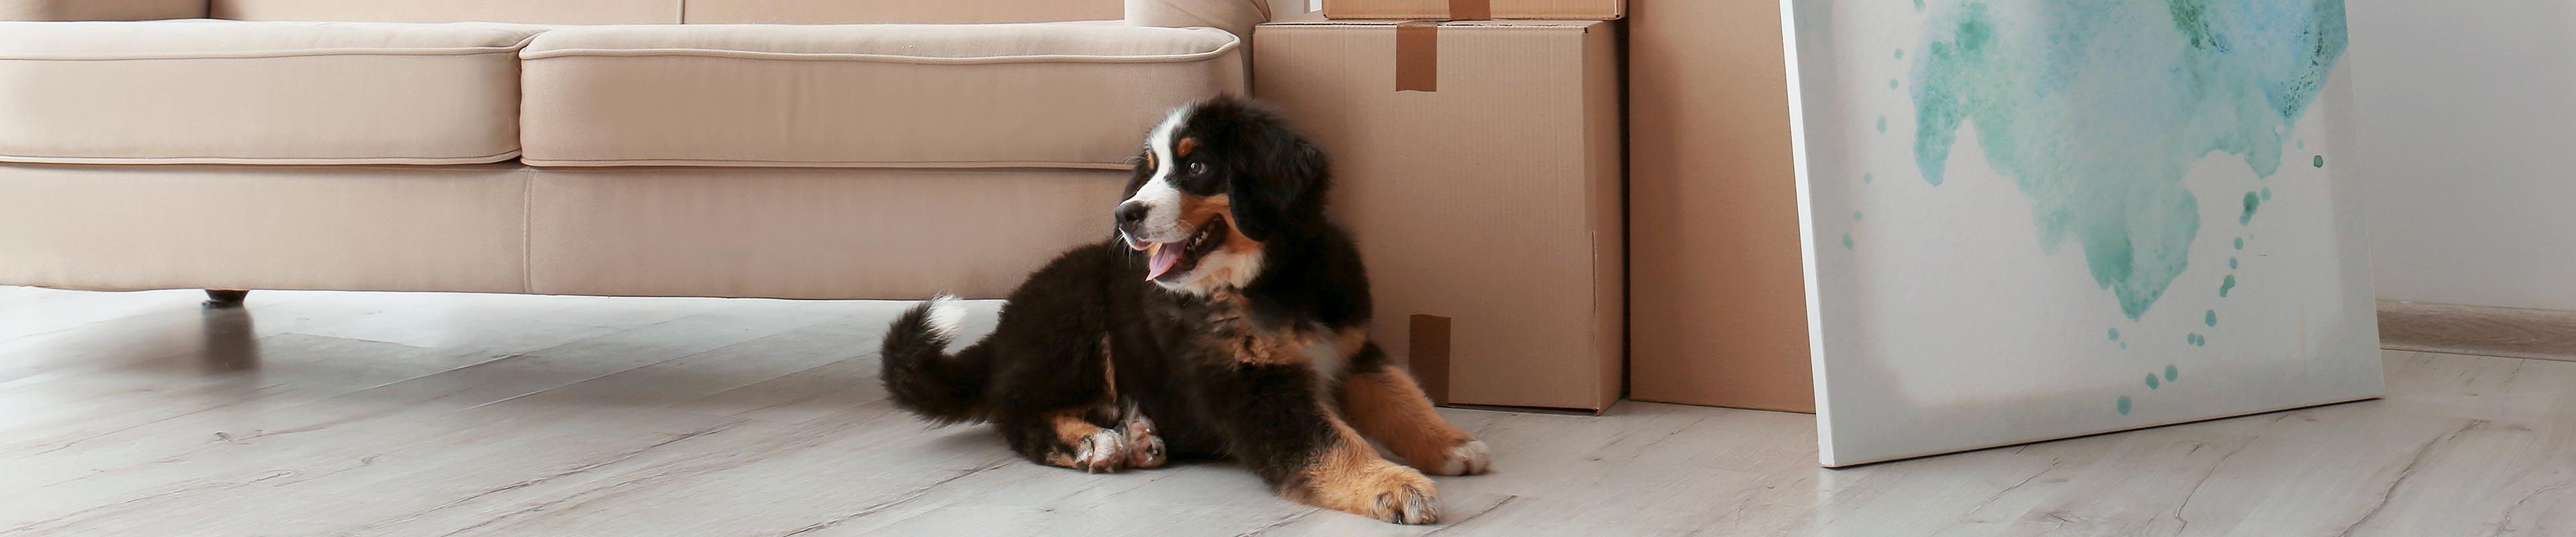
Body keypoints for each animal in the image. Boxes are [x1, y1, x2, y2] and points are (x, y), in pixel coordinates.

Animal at [881, 94, 1494, 521]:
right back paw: (1095, 442)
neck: (1271, 282)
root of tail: (1003, 331)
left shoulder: (1349, 346)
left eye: (1196, 167)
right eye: (1150, 170)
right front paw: (1394, 485)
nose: (1125, 214)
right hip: (1074, 325)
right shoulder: (1252, 385)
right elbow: (1329, 441)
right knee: (1020, 414)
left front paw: (1451, 444)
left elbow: (1400, 394)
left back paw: (1141, 437)